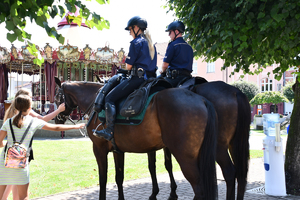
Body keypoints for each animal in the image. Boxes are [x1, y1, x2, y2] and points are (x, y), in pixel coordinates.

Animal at [54, 80, 218, 200]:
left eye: (56, 96)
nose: (57, 119)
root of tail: (202, 100)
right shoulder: (118, 151)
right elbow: (119, 177)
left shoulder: (99, 149)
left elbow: (103, 179)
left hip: (185, 157)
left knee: (199, 189)